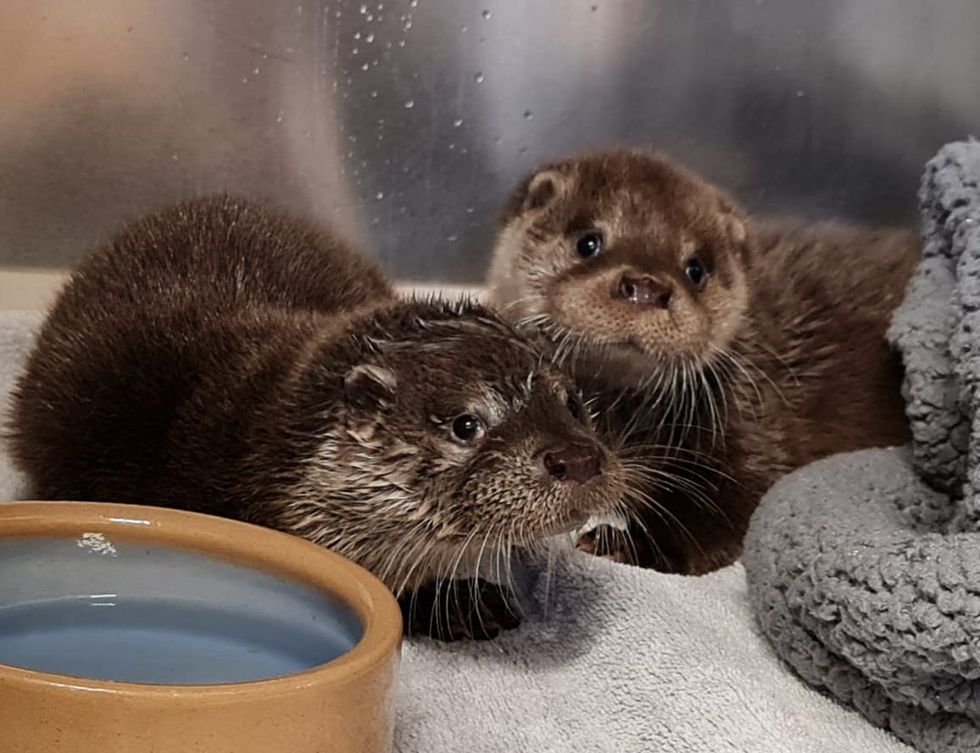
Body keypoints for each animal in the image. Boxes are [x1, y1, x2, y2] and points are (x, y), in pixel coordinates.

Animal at [488, 149, 919, 574]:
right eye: (588, 242)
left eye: (695, 268)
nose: (646, 287)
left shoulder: (752, 429)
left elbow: (723, 506)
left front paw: (621, 544)